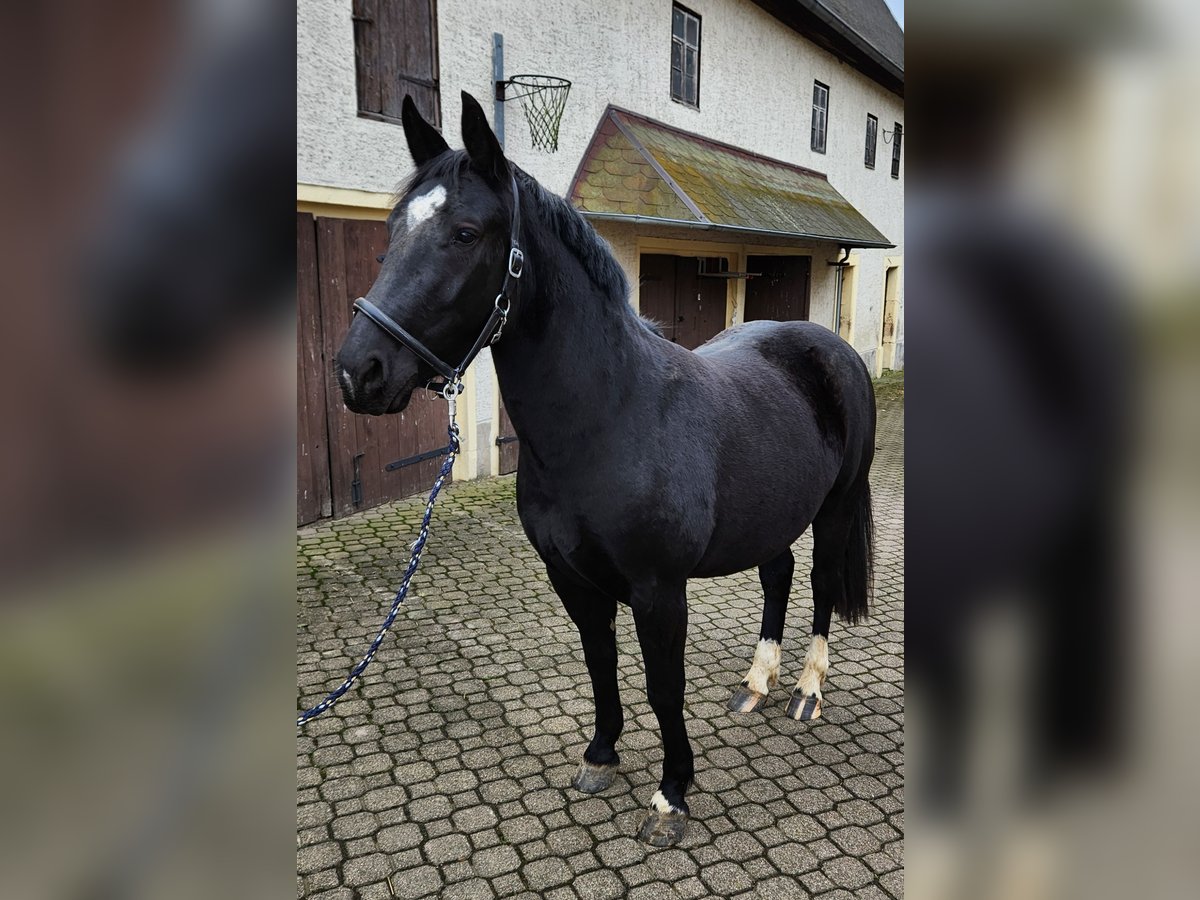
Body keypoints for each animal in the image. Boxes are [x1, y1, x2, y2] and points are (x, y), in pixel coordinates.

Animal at [333, 95, 878, 849]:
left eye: (465, 233)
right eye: (393, 229)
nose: (360, 372)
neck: (607, 419)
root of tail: (831, 348)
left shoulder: (658, 590)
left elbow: (663, 686)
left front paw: (672, 795)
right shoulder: (572, 579)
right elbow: (601, 663)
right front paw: (601, 756)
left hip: (835, 508)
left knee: (822, 583)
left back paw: (805, 691)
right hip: (772, 515)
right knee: (781, 574)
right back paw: (757, 683)